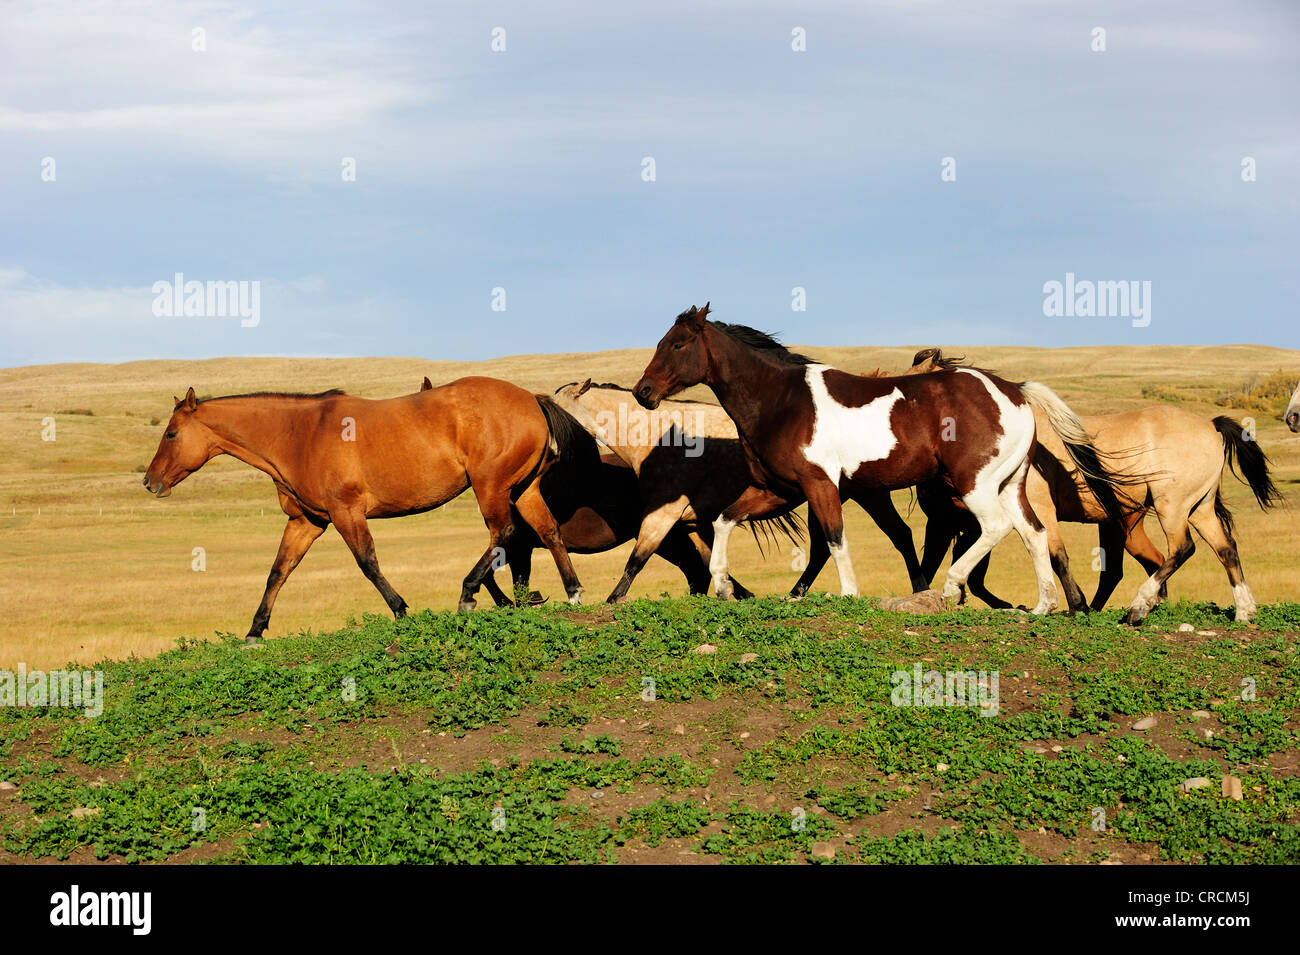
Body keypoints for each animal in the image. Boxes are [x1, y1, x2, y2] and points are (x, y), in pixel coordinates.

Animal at [142, 376, 585, 639]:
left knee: (503, 534)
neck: (301, 434)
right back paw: (572, 591)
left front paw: (401, 610)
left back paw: (469, 592)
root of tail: (531, 400)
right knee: (548, 531)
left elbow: (368, 563)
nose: (150, 482)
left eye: (171, 433)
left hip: (491, 487)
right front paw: (255, 631)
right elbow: (278, 572)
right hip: (524, 489)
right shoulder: (305, 522)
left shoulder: (346, 513)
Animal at [631, 307, 1128, 621]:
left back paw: (952, 587)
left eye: (678, 344)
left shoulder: (821, 485)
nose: (642, 392)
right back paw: (1043, 606)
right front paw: (722, 586)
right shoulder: (779, 490)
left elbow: (833, 539)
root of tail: (1015, 391)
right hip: (1009, 485)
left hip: (974, 484)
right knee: (1034, 533)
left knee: (996, 528)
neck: (782, 401)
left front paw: (848, 594)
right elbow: (724, 519)